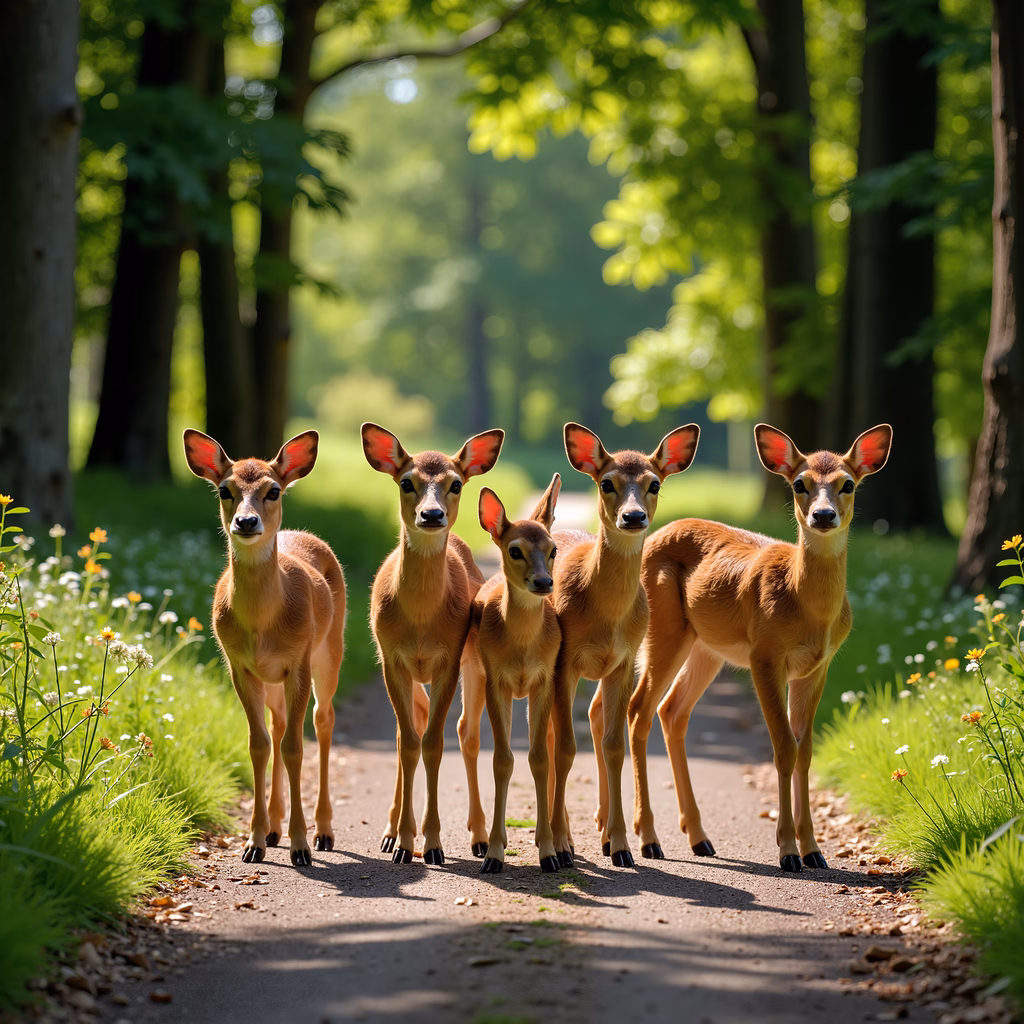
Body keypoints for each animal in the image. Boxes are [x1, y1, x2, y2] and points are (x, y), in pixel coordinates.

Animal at [182, 429, 346, 868]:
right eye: (225, 489)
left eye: (273, 491)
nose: (246, 521)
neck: (261, 625)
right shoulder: (239, 666)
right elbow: (258, 745)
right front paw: (253, 843)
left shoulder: (299, 661)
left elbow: (294, 748)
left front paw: (301, 846)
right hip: (273, 680)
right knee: (278, 724)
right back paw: (273, 828)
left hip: (330, 649)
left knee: (322, 720)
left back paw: (324, 832)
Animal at [361, 422, 504, 865]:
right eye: (406, 481)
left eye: (455, 483)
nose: (431, 514)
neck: (422, 623)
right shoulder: (391, 659)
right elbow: (408, 744)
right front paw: (404, 843)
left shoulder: (449, 659)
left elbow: (435, 745)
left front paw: (434, 843)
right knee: (403, 734)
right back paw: (390, 832)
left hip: (474, 663)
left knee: (467, 734)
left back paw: (478, 836)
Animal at [460, 474, 562, 875]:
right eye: (515, 550)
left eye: (552, 549)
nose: (544, 582)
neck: (521, 649)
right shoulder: (496, 679)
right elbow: (502, 760)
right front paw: (494, 854)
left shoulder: (544, 680)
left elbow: (539, 758)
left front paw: (548, 852)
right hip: (471, 671)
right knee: (467, 733)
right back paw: (481, 836)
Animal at [550, 422, 700, 868]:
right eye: (606, 482)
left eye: (654, 483)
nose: (632, 516)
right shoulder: (563, 662)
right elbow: (565, 748)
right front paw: (561, 844)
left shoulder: (622, 661)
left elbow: (615, 746)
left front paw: (620, 845)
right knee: (550, 738)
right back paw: (564, 838)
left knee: (592, 719)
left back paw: (600, 830)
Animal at [627, 423, 892, 871]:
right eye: (800, 484)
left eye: (848, 484)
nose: (823, 515)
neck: (806, 607)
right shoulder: (764, 656)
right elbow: (783, 747)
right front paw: (787, 851)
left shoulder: (817, 667)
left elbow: (805, 750)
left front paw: (814, 850)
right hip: (664, 628)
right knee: (638, 710)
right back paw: (648, 840)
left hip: (707, 647)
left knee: (672, 710)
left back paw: (699, 838)